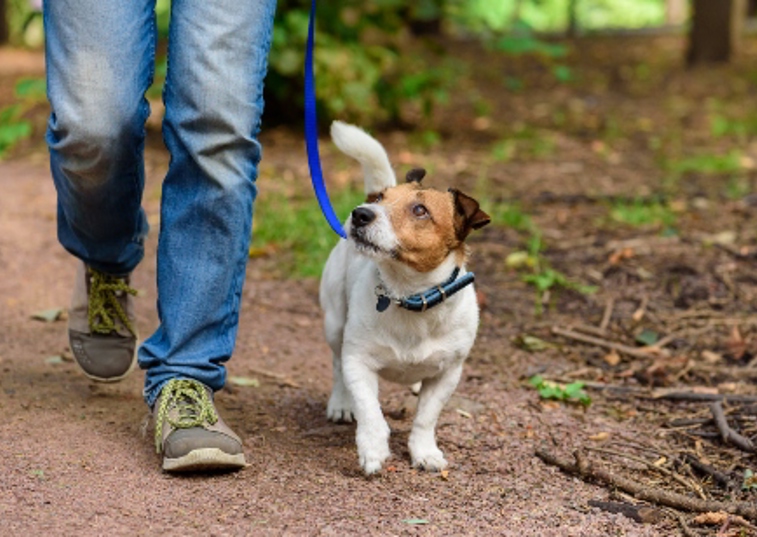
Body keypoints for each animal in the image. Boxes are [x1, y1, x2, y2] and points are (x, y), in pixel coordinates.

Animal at [318, 122, 490, 474]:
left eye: (420, 210)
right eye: (382, 199)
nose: (360, 213)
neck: (408, 295)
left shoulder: (448, 374)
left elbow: (426, 418)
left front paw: (424, 452)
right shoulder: (358, 361)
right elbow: (369, 410)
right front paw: (372, 448)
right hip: (334, 322)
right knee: (337, 366)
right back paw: (341, 403)